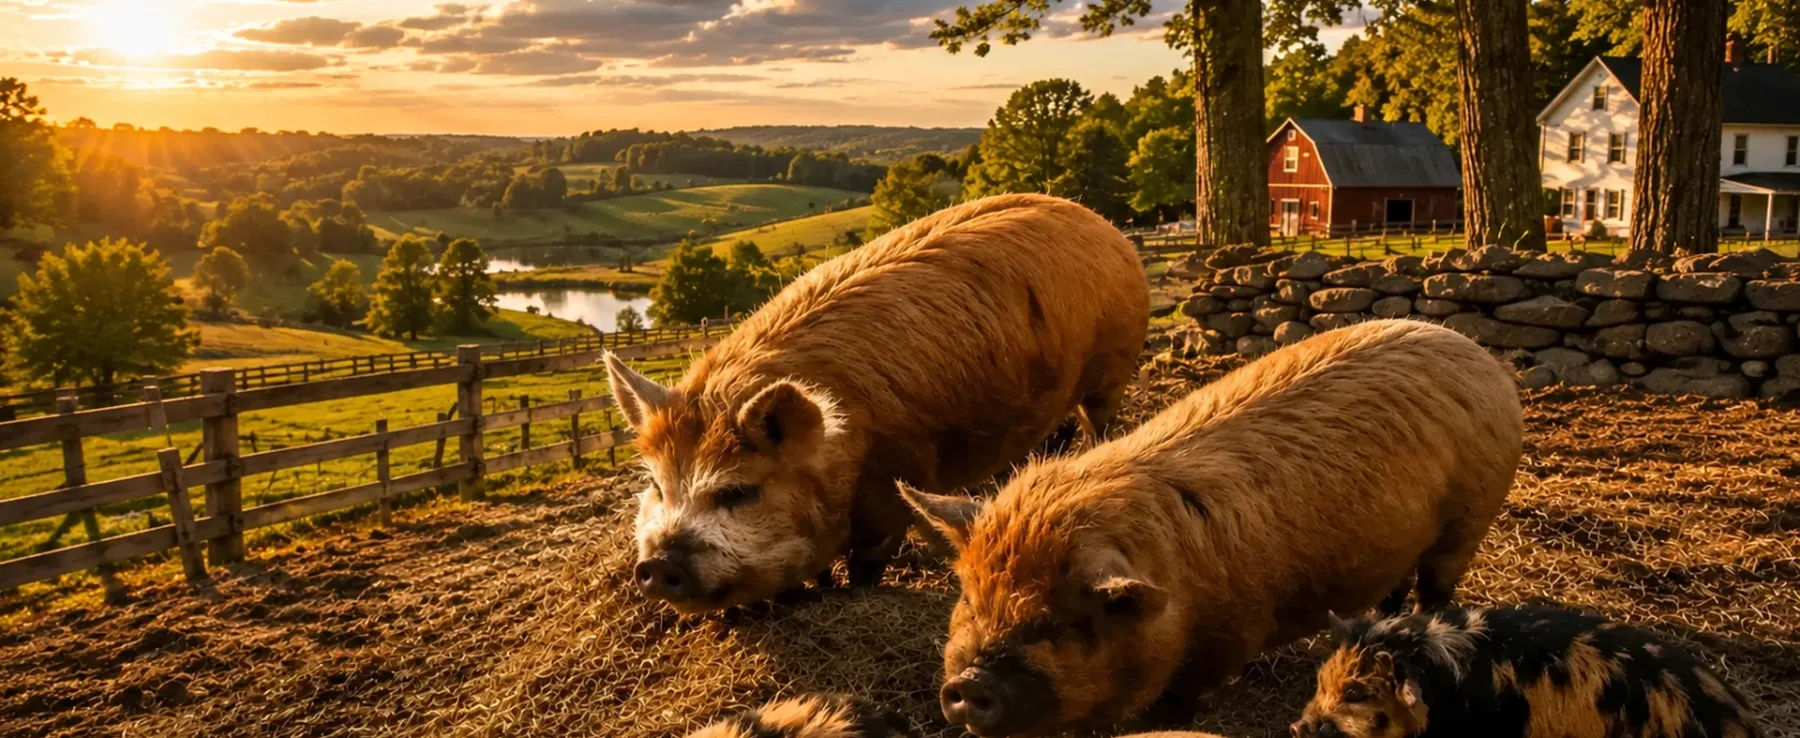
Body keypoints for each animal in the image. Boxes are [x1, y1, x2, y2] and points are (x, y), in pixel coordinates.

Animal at [606, 193, 1150, 613]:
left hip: (1114, 365)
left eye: (738, 491)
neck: (841, 449)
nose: (656, 564)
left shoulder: (894, 477)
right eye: (656, 485)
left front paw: (854, 594)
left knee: (1098, 422)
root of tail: (1105, 226)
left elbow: (868, 560)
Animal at [904, 319, 1523, 737]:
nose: (967, 684)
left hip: (1469, 519)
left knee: (1435, 588)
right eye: (970, 600)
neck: (1176, 591)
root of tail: (1479, 353)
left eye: (1054, 623)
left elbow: (1174, 704)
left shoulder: (1232, 636)